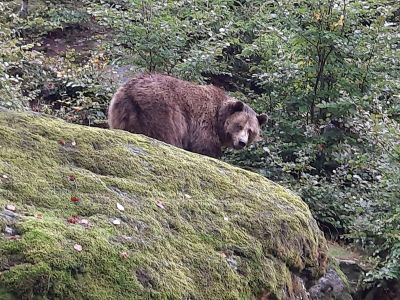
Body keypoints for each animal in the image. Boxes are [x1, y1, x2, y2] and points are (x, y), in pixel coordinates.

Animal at [108, 74, 268, 158]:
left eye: (251, 131)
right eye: (239, 125)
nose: (242, 142)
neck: (219, 120)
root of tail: (132, 91)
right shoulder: (204, 123)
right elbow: (205, 147)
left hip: (120, 111)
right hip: (164, 110)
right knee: (167, 133)